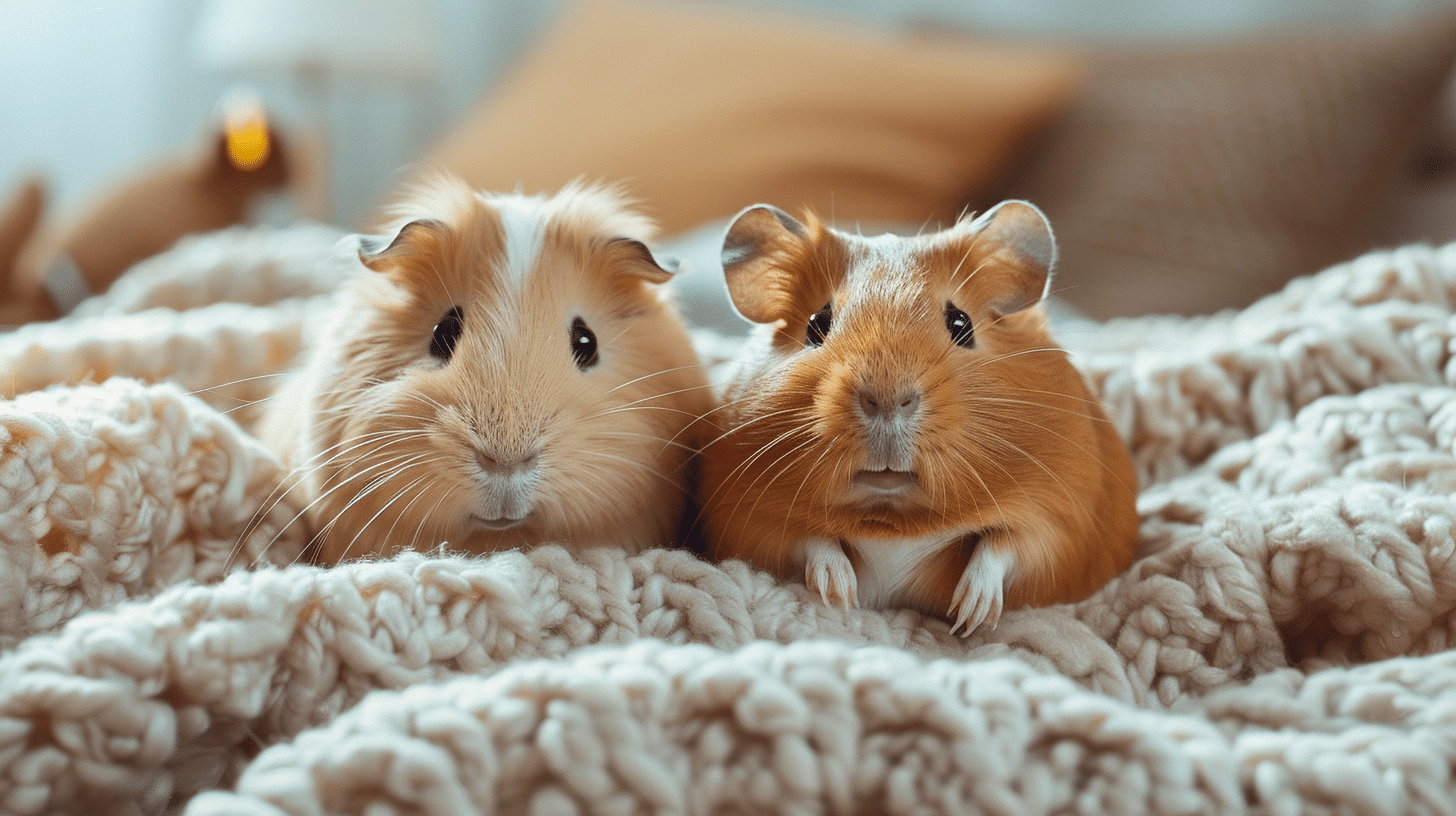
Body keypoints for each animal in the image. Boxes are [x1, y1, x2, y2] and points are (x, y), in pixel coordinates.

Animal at [697, 201, 1138, 636]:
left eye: (961, 323)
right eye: (816, 324)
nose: (888, 399)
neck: (895, 515)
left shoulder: (1061, 521)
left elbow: (1005, 546)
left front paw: (969, 616)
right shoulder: (747, 521)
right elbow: (809, 542)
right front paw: (838, 595)